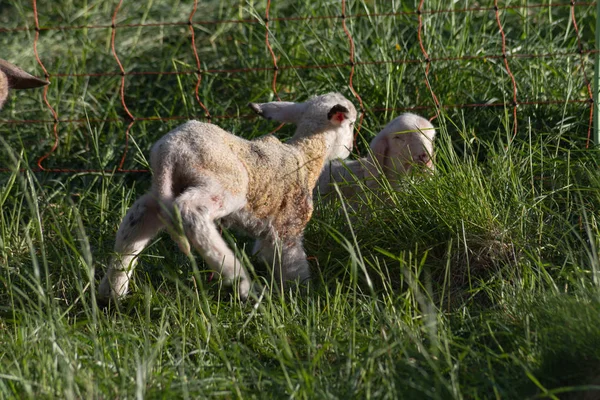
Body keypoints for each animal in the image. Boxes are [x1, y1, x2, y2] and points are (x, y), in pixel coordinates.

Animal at [98, 92, 356, 302]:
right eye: (352, 124)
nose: (350, 149)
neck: (305, 156)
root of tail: (170, 150)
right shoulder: (289, 223)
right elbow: (293, 262)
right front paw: (301, 294)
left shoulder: (269, 229)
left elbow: (266, 252)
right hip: (225, 183)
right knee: (190, 211)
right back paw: (238, 278)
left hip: (163, 190)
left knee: (137, 219)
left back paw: (112, 292)